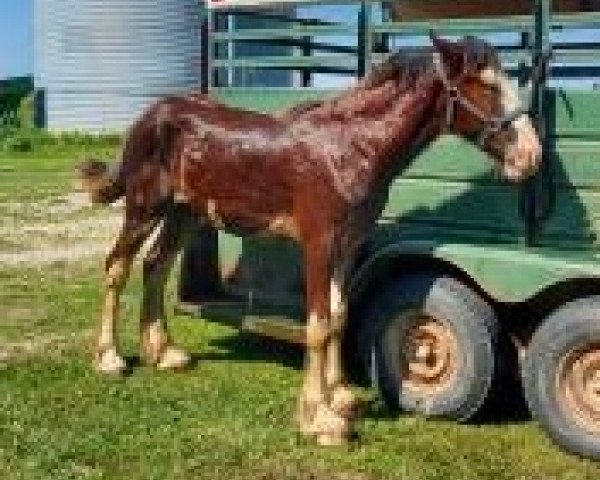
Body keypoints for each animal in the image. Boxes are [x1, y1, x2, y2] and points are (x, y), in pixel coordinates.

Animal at [77, 34, 540, 446]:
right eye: (488, 84)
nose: (531, 157)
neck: (351, 147)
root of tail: (150, 115)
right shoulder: (319, 243)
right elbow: (317, 326)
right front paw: (319, 420)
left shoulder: (348, 246)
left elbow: (338, 316)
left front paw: (340, 398)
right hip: (143, 208)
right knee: (117, 267)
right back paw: (109, 358)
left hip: (183, 214)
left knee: (155, 265)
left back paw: (164, 353)